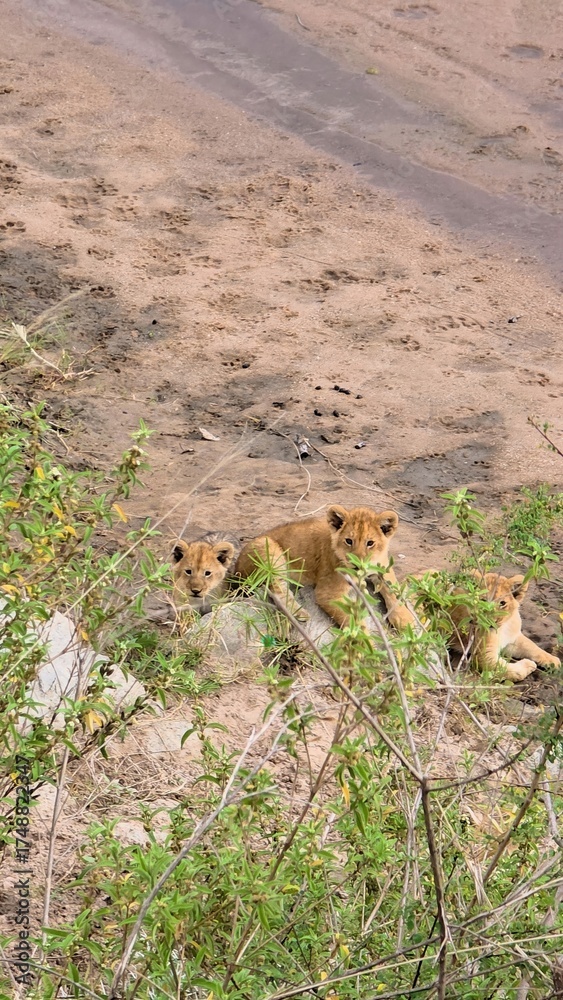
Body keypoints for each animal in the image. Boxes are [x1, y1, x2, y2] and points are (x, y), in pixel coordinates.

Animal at [234, 505, 414, 629]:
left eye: (370, 543)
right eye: (349, 541)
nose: (357, 564)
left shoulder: (383, 567)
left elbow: (393, 589)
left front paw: (405, 620)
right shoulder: (327, 593)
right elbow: (351, 620)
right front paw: (361, 644)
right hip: (268, 549)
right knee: (276, 588)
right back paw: (300, 613)